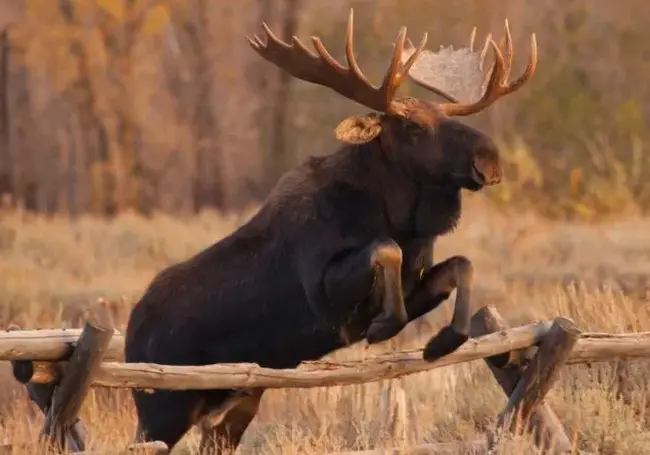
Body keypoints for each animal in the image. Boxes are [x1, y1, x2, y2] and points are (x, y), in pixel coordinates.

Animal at [123, 8, 536, 454]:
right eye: (413, 127)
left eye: (446, 116)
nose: (489, 158)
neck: (401, 221)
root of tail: (129, 333)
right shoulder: (325, 294)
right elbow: (384, 249)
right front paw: (386, 325)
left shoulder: (416, 280)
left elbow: (462, 264)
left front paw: (443, 340)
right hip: (161, 406)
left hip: (234, 404)